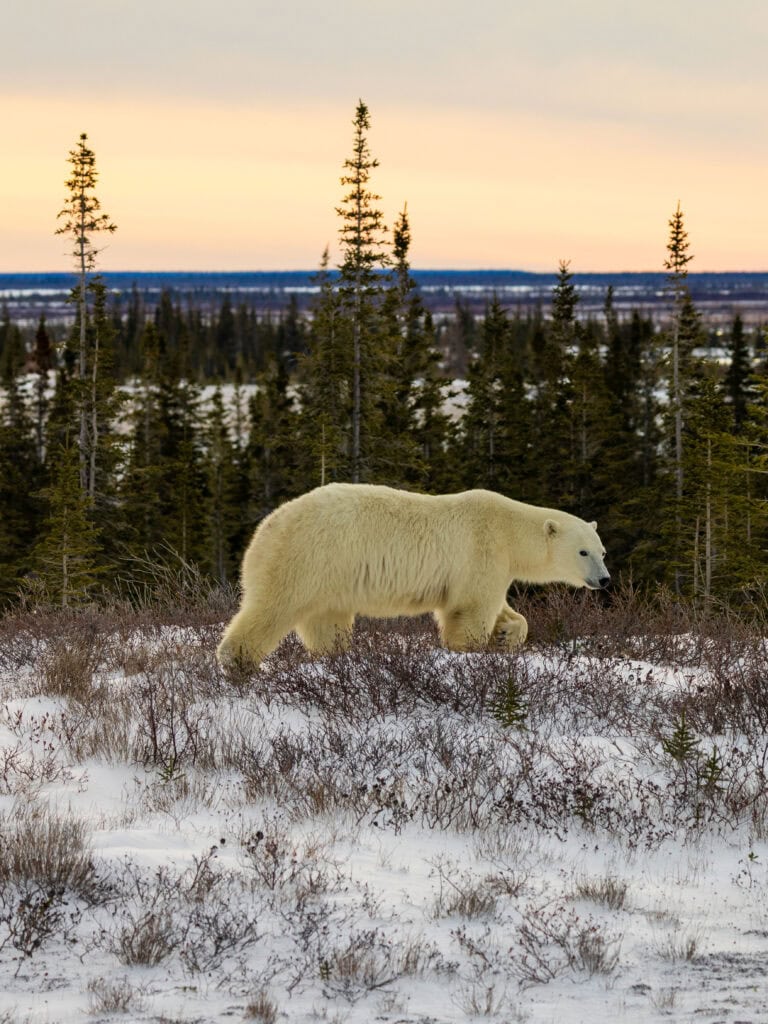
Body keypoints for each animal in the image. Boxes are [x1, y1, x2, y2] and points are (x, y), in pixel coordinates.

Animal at [216, 483, 610, 667]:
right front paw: (470, 651)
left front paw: (506, 633)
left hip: (330, 581)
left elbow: (498, 607)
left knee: (326, 624)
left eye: (602, 551)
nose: (604, 579)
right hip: (307, 559)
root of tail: (265, 528)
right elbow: (471, 610)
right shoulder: (483, 550)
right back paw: (238, 663)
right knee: (272, 608)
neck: (509, 529)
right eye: (583, 551)